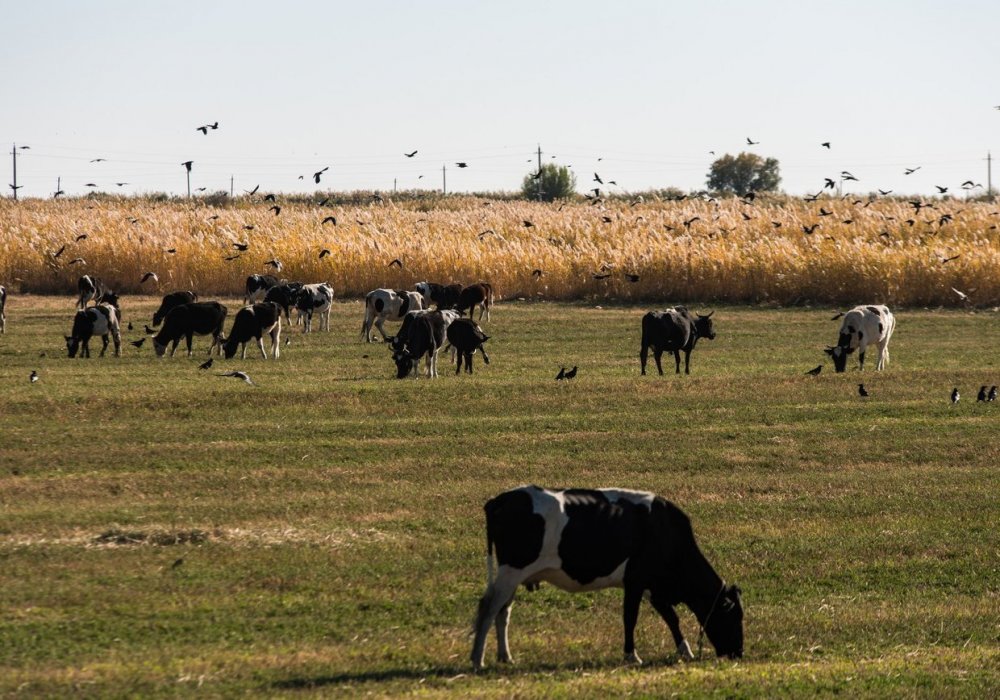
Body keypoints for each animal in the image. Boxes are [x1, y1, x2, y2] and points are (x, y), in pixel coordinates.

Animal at [472, 484, 748, 668]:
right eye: (734, 616)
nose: (738, 653)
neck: (666, 532)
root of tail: (501, 499)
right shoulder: (635, 581)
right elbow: (630, 618)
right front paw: (631, 656)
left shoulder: (654, 588)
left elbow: (672, 618)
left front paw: (685, 651)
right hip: (511, 572)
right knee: (488, 608)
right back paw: (477, 659)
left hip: (513, 576)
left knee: (502, 613)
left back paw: (505, 656)